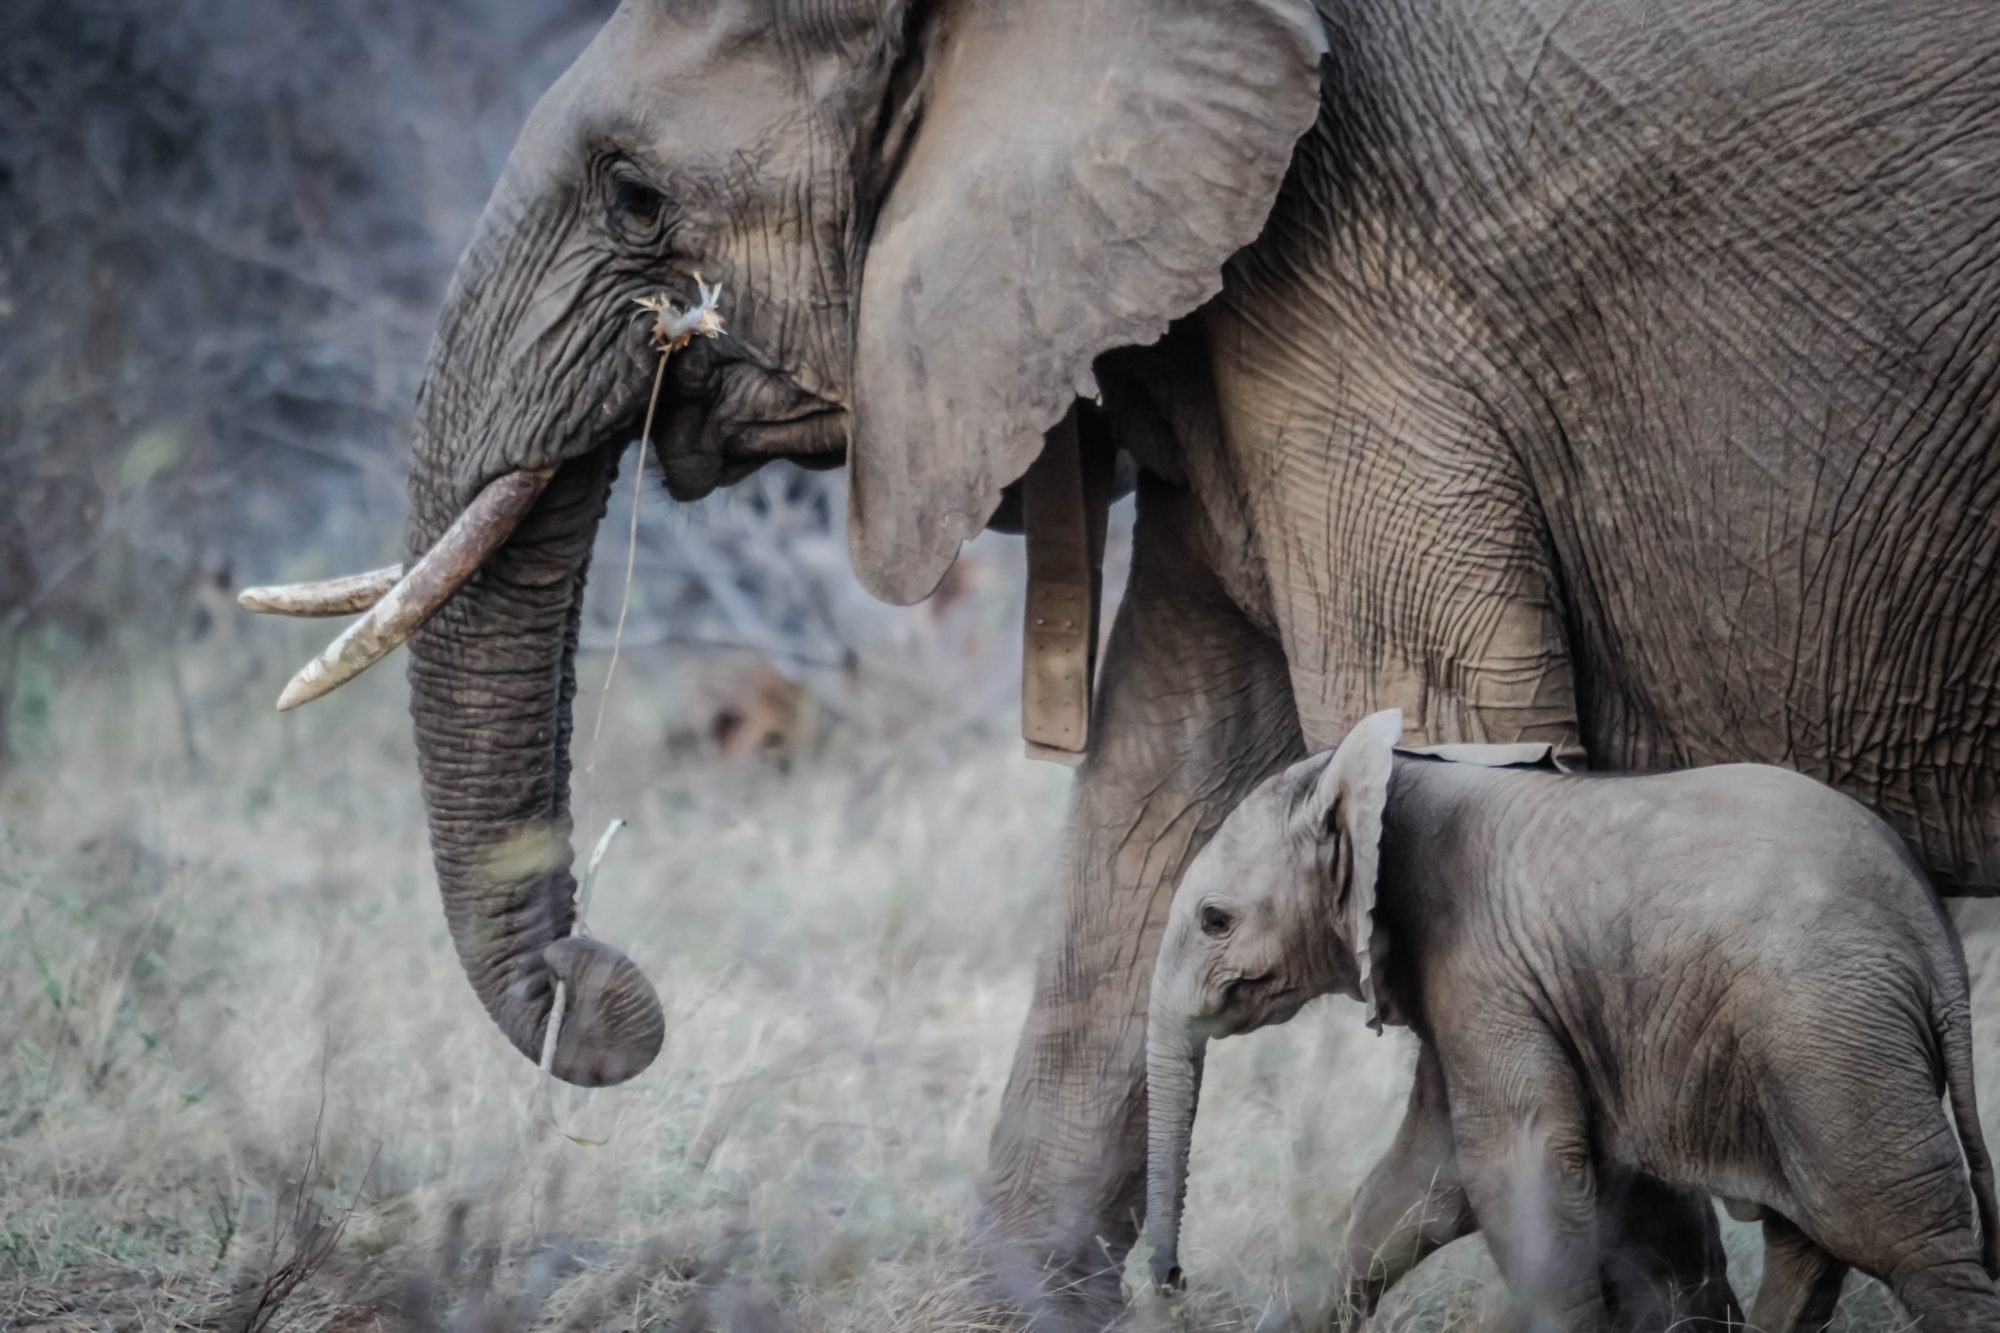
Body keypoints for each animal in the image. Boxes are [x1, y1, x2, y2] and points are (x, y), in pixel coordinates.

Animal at [1144, 712, 2000, 1320]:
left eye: (1215, 919)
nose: (1172, 1281)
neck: (1391, 774)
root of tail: (1933, 938)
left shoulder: (1484, 966)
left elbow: (1516, 1171)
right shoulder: (1476, 985)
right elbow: (1419, 1185)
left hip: (1827, 1035)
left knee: (1906, 1242)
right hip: (1815, 1044)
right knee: (1812, 1242)